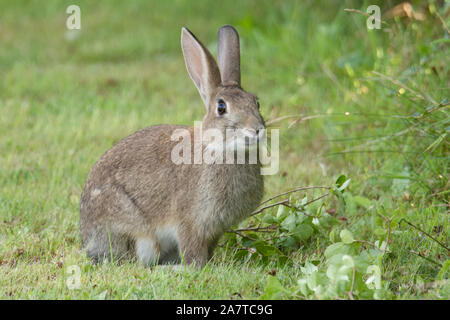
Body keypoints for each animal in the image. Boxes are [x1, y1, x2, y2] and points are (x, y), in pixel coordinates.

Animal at [79, 25, 266, 268]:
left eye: (256, 102)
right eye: (221, 107)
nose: (257, 129)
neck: (219, 147)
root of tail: (87, 238)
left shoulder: (214, 230)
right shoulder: (190, 221)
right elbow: (193, 255)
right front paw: (196, 267)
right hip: (132, 226)